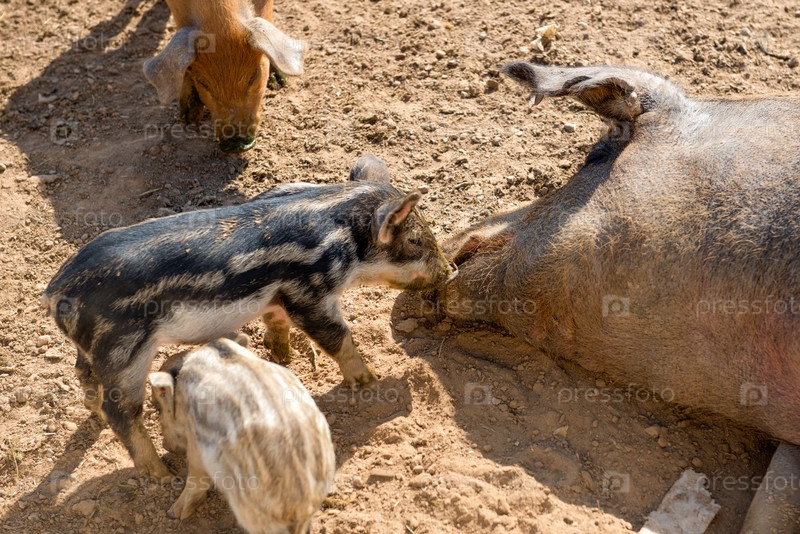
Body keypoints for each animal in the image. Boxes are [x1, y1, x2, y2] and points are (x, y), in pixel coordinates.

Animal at [42, 154, 455, 478]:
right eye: (415, 240)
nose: (450, 271)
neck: (343, 236)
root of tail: (57, 292)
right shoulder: (310, 292)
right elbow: (338, 336)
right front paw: (370, 380)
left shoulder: (276, 297)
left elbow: (277, 323)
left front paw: (284, 360)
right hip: (125, 350)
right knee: (122, 410)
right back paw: (161, 474)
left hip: (93, 348)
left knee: (85, 378)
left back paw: (96, 418)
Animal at [143, 0, 304, 152]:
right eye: (203, 84)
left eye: (253, 77)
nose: (235, 145)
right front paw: (188, 119)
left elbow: (266, 18)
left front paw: (278, 83)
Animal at [148, 336, 335, 533]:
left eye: (158, 407)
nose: (165, 445)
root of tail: (301, 506)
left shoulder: (196, 445)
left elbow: (197, 477)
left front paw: (173, 513)